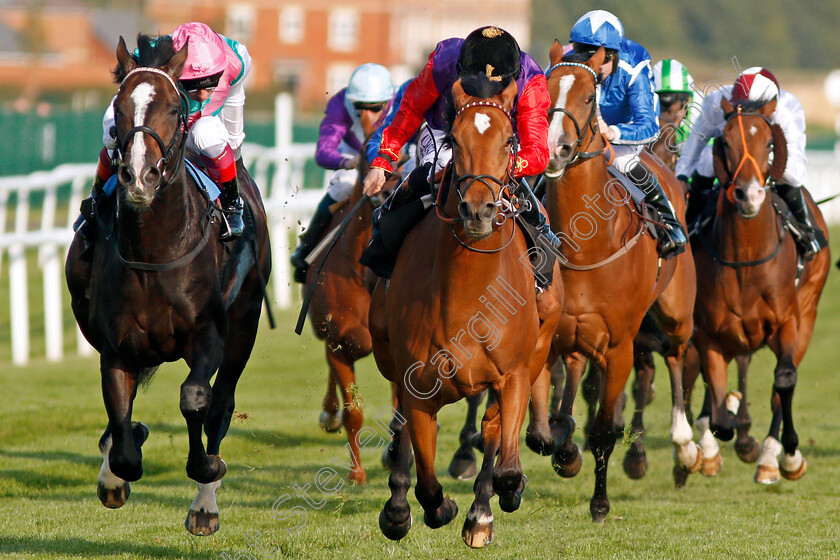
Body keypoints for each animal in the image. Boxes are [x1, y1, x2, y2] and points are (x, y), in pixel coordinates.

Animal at [65, 37, 270, 536]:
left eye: (175, 109)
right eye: (119, 105)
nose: (139, 176)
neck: (155, 253)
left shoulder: (210, 334)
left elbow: (197, 399)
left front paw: (207, 473)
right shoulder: (115, 347)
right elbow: (122, 436)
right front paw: (117, 469)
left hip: (245, 324)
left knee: (222, 401)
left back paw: (206, 502)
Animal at [370, 79, 560, 548]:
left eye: (509, 139)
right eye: (454, 140)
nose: (478, 211)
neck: (467, 294)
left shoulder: (513, 375)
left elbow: (506, 464)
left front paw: (495, 500)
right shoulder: (417, 380)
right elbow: (425, 479)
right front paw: (427, 507)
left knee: (492, 430)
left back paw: (482, 511)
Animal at [540, 42, 700, 520]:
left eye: (589, 98)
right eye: (543, 92)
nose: (554, 149)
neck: (584, 247)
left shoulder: (620, 346)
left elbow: (604, 429)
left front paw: (599, 503)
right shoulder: (550, 337)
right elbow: (553, 422)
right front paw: (565, 453)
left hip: (676, 314)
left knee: (677, 357)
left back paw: (687, 447)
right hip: (578, 338)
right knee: (576, 372)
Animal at [692, 96, 832, 482]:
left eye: (770, 143)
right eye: (725, 142)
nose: (749, 194)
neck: (746, 259)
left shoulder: (788, 322)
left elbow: (783, 381)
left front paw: (787, 455)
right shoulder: (709, 333)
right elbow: (719, 411)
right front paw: (718, 442)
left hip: (808, 311)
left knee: (780, 385)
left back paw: (773, 458)